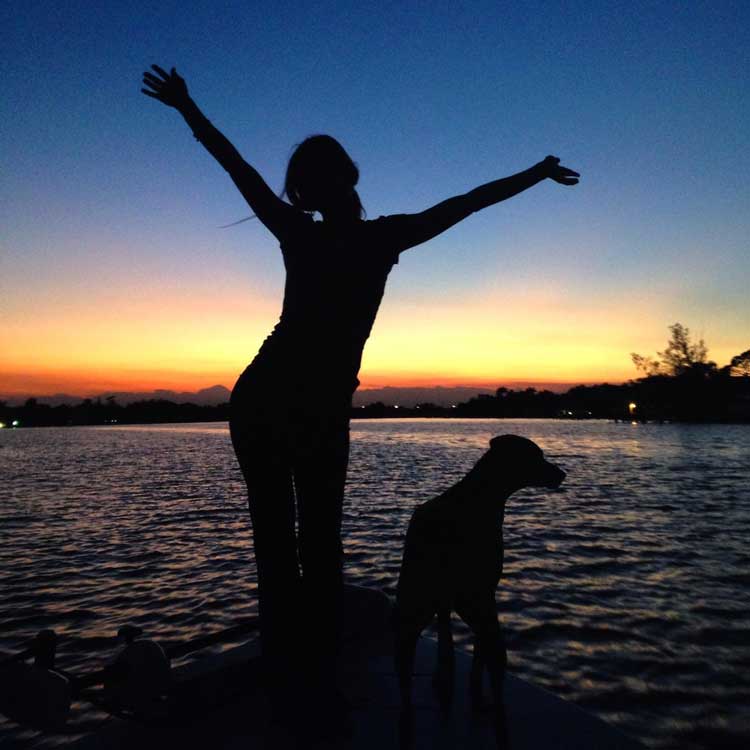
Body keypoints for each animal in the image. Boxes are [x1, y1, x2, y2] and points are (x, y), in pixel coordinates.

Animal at [394, 435, 565, 717]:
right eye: (536, 456)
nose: (562, 474)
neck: (480, 497)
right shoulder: (478, 595)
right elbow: (488, 649)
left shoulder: (472, 597)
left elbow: (467, 648)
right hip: (426, 597)